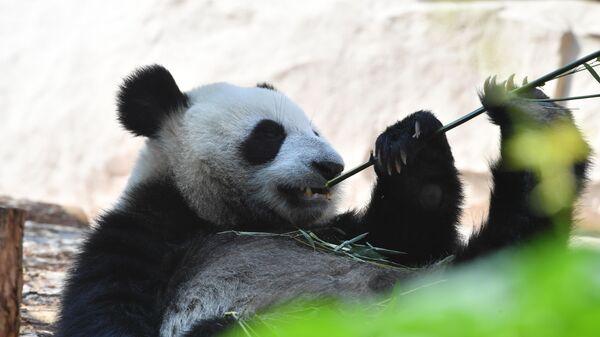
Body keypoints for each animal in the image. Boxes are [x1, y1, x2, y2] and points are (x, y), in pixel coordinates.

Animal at [55, 65, 592, 336]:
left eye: (314, 129)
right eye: (268, 135)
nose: (330, 166)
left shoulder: (338, 231)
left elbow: (410, 234)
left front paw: (408, 140)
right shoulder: (144, 235)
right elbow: (106, 314)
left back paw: (535, 120)